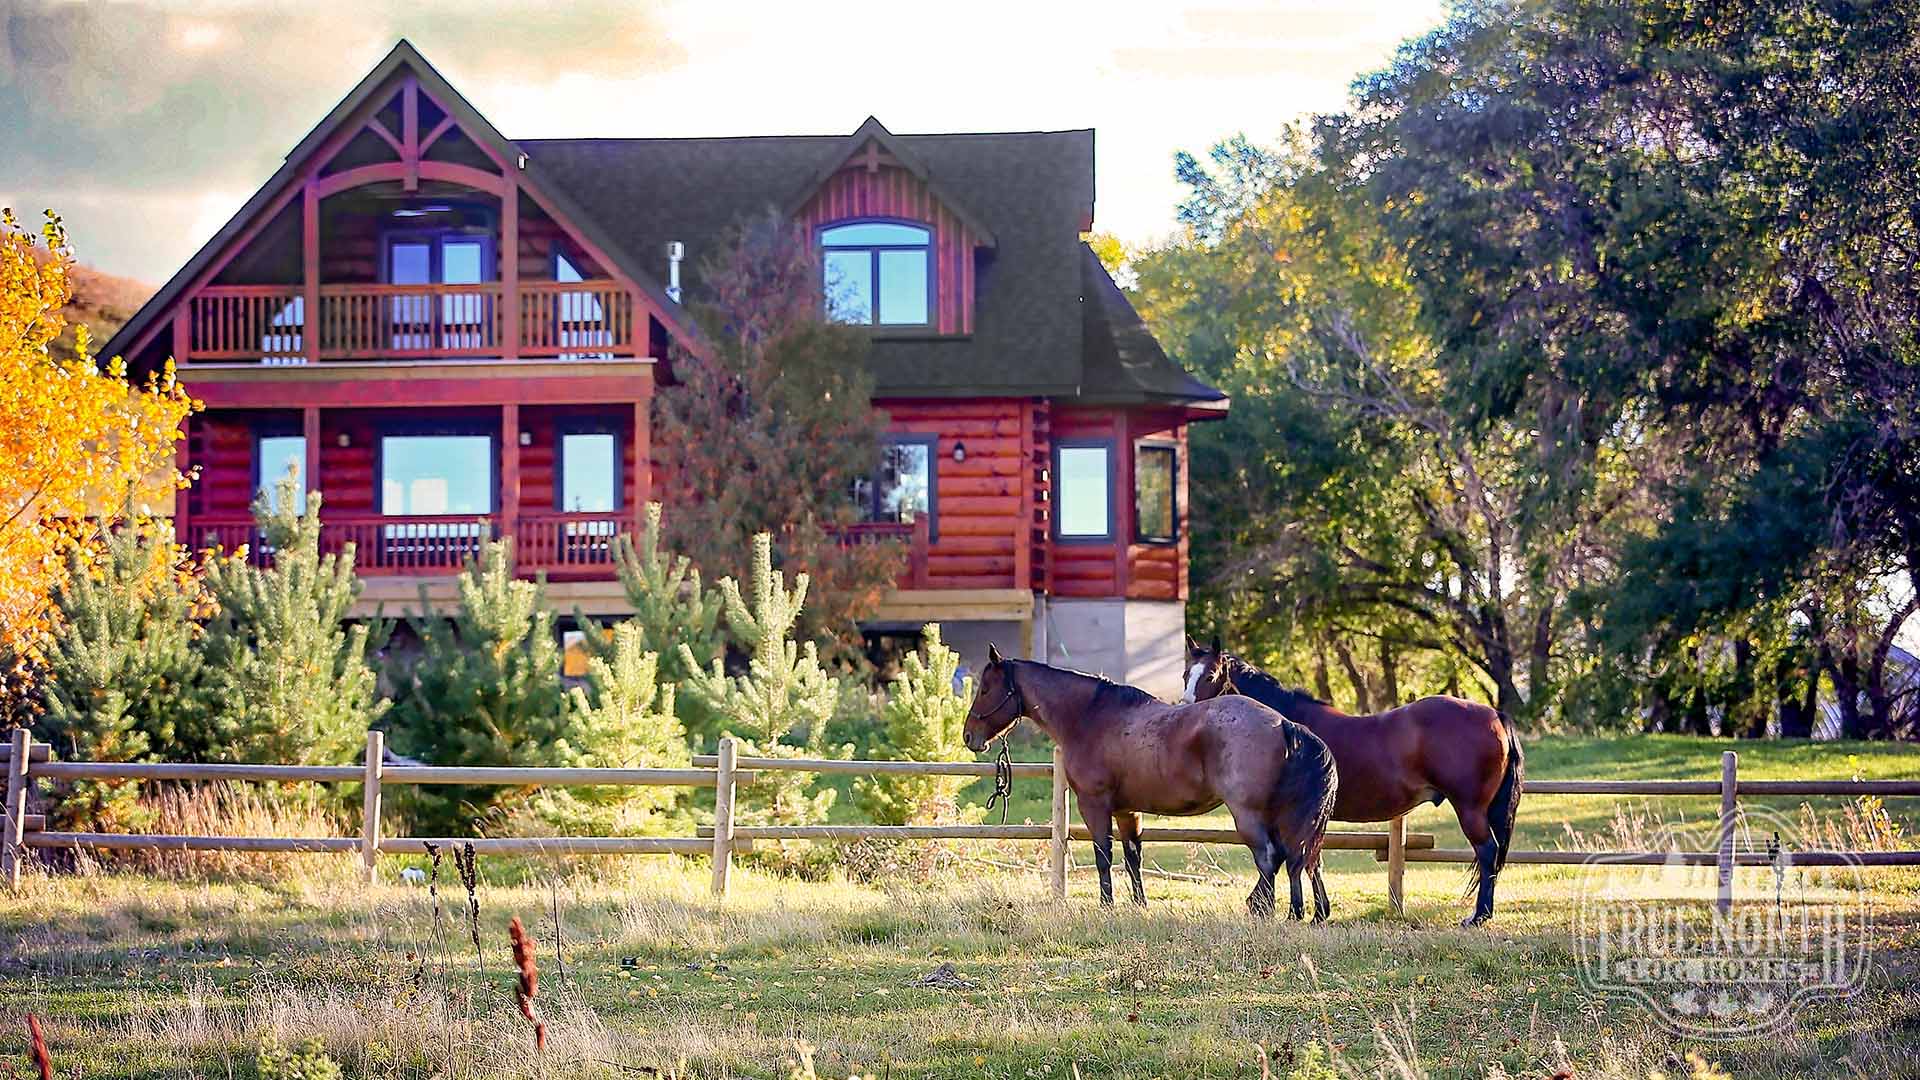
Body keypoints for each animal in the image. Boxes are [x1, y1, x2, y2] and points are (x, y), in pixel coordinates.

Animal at [960, 638, 1336, 914]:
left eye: (985, 689)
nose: (968, 735)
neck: (1090, 717)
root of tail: (1283, 723)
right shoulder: (1128, 811)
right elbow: (1132, 857)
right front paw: (1139, 905)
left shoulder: (1094, 805)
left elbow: (1103, 855)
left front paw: (1107, 905)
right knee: (1296, 856)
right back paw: (1295, 911)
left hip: (1248, 814)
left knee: (1270, 857)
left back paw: (1264, 910)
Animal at [1175, 634, 1520, 922]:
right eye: (1185, 675)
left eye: (1211, 675)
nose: (1186, 718)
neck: (1285, 728)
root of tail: (1495, 715)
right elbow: (1308, 859)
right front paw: (1317, 912)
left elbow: (1294, 857)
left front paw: (1287, 910)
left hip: (1470, 809)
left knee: (1487, 852)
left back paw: (1479, 916)